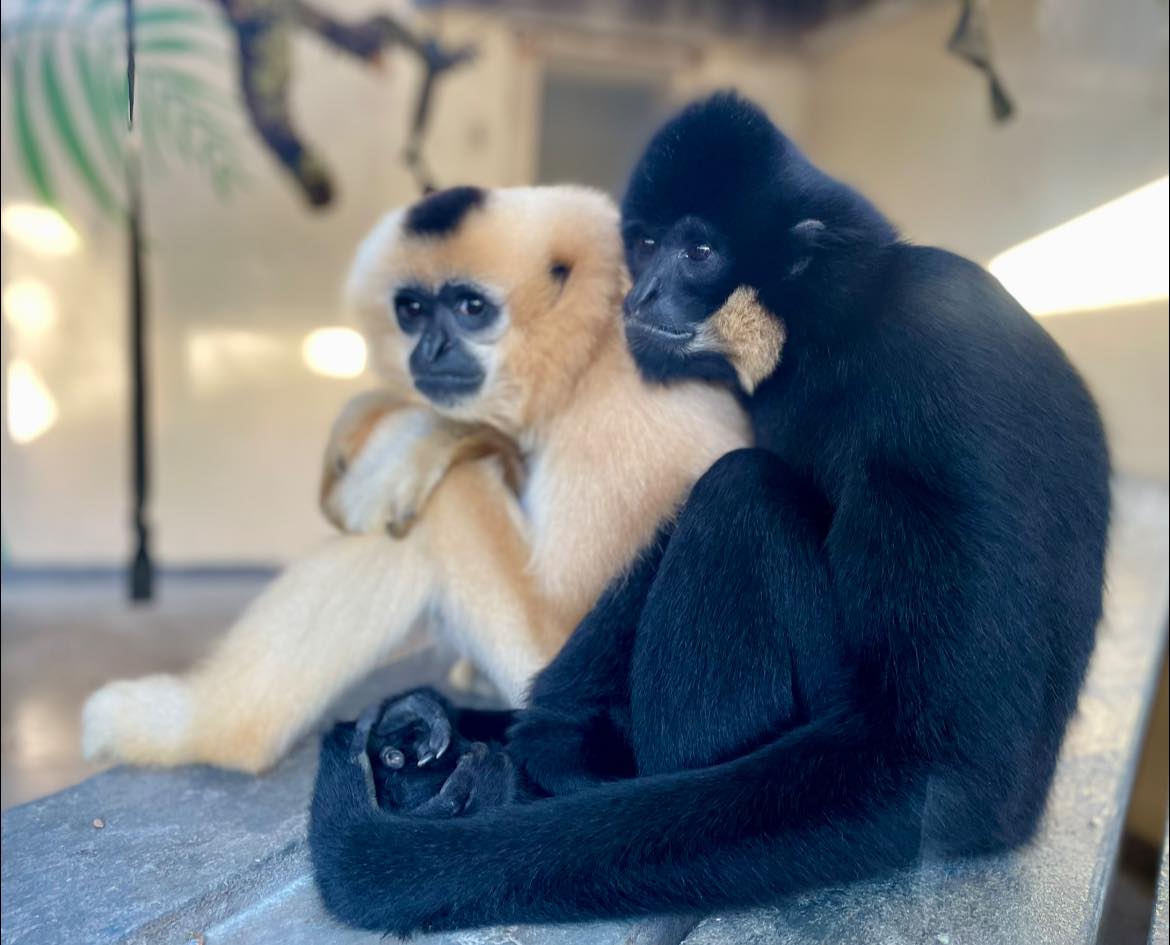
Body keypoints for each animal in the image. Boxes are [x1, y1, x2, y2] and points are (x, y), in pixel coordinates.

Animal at [80, 184, 749, 774]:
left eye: (471, 308)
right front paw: (375, 416)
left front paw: (409, 442)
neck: (588, 353)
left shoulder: (624, 422)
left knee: (444, 495)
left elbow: (559, 626)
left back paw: (206, 735)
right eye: (412, 310)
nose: (427, 351)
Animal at [307, 93, 1111, 936]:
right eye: (646, 243)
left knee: (741, 493)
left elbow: (946, 770)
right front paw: (527, 730)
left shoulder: (939, 368)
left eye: (696, 252)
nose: (639, 296)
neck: (839, 324)